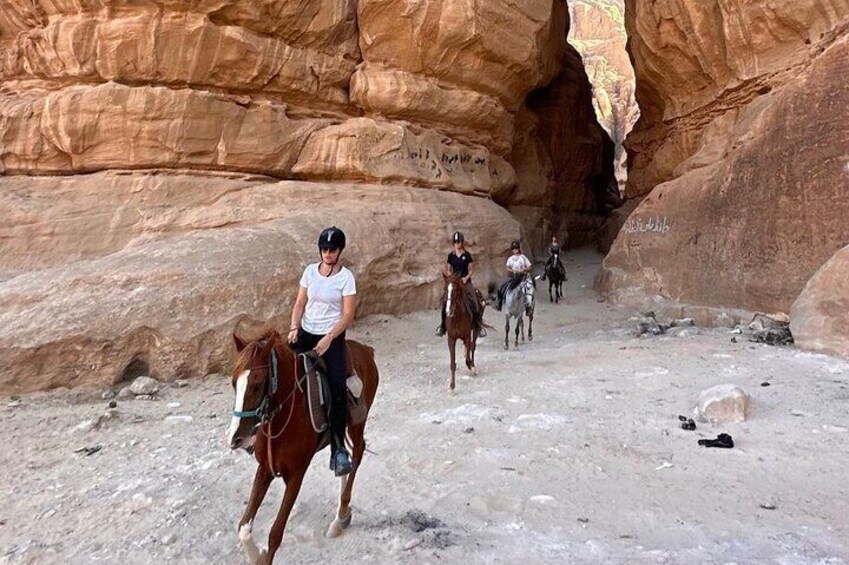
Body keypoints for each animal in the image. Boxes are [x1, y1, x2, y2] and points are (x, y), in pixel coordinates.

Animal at [230, 330, 380, 564]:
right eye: (234, 382)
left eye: (257, 384)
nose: (236, 438)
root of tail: (366, 350)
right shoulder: (264, 469)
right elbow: (243, 527)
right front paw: (256, 554)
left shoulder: (296, 474)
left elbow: (275, 534)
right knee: (345, 454)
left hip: (357, 423)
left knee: (358, 452)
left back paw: (341, 516)